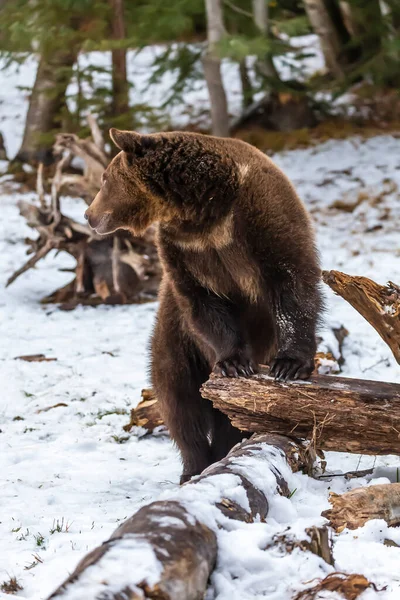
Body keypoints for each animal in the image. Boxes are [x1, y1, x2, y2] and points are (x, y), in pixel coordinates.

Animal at [86, 130, 324, 482]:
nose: (89, 215)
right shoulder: (182, 251)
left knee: (226, 413)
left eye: (104, 178)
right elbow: (202, 303)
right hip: (175, 339)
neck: (201, 212)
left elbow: (292, 279)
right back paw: (195, 464)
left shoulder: (259, 217)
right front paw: (234, 363)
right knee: (180, 401)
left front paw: (290, 364)